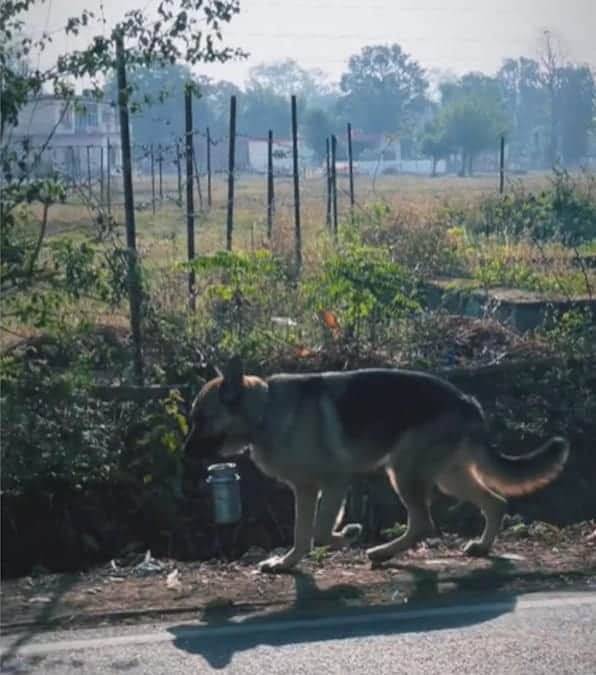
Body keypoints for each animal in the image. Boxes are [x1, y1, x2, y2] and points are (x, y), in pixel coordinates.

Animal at [182, 356, 568, 572]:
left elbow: (320, 530)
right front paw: (287, 564)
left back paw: (382, 551)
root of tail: (466, 400)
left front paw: (348, 534)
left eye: (202, 419)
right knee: (494, 502)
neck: (264, 411)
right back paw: (482, 546)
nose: (184, 453)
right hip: (447, 477)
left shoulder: (335, 483)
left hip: (404, 473)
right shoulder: (305, 490)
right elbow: (302, 534)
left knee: (424, 523)